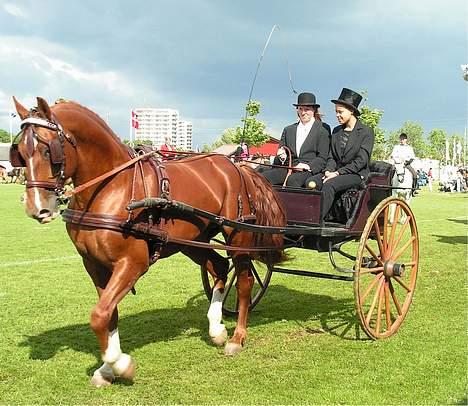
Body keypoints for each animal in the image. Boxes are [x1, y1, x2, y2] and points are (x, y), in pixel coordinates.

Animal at [12, 97, 288, 386]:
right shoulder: (94, 265)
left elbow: (99, 315)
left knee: (244, 281)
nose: (37, 208)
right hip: (192, 241)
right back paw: (216, 328)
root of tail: (238, 166)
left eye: (47, 150)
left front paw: (121, 364)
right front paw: (107, 368)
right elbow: (108, 314)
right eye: (20, 152)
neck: (113, 188)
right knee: (220, 267)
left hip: (238, 237)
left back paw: (237, 337)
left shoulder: (132, 263)